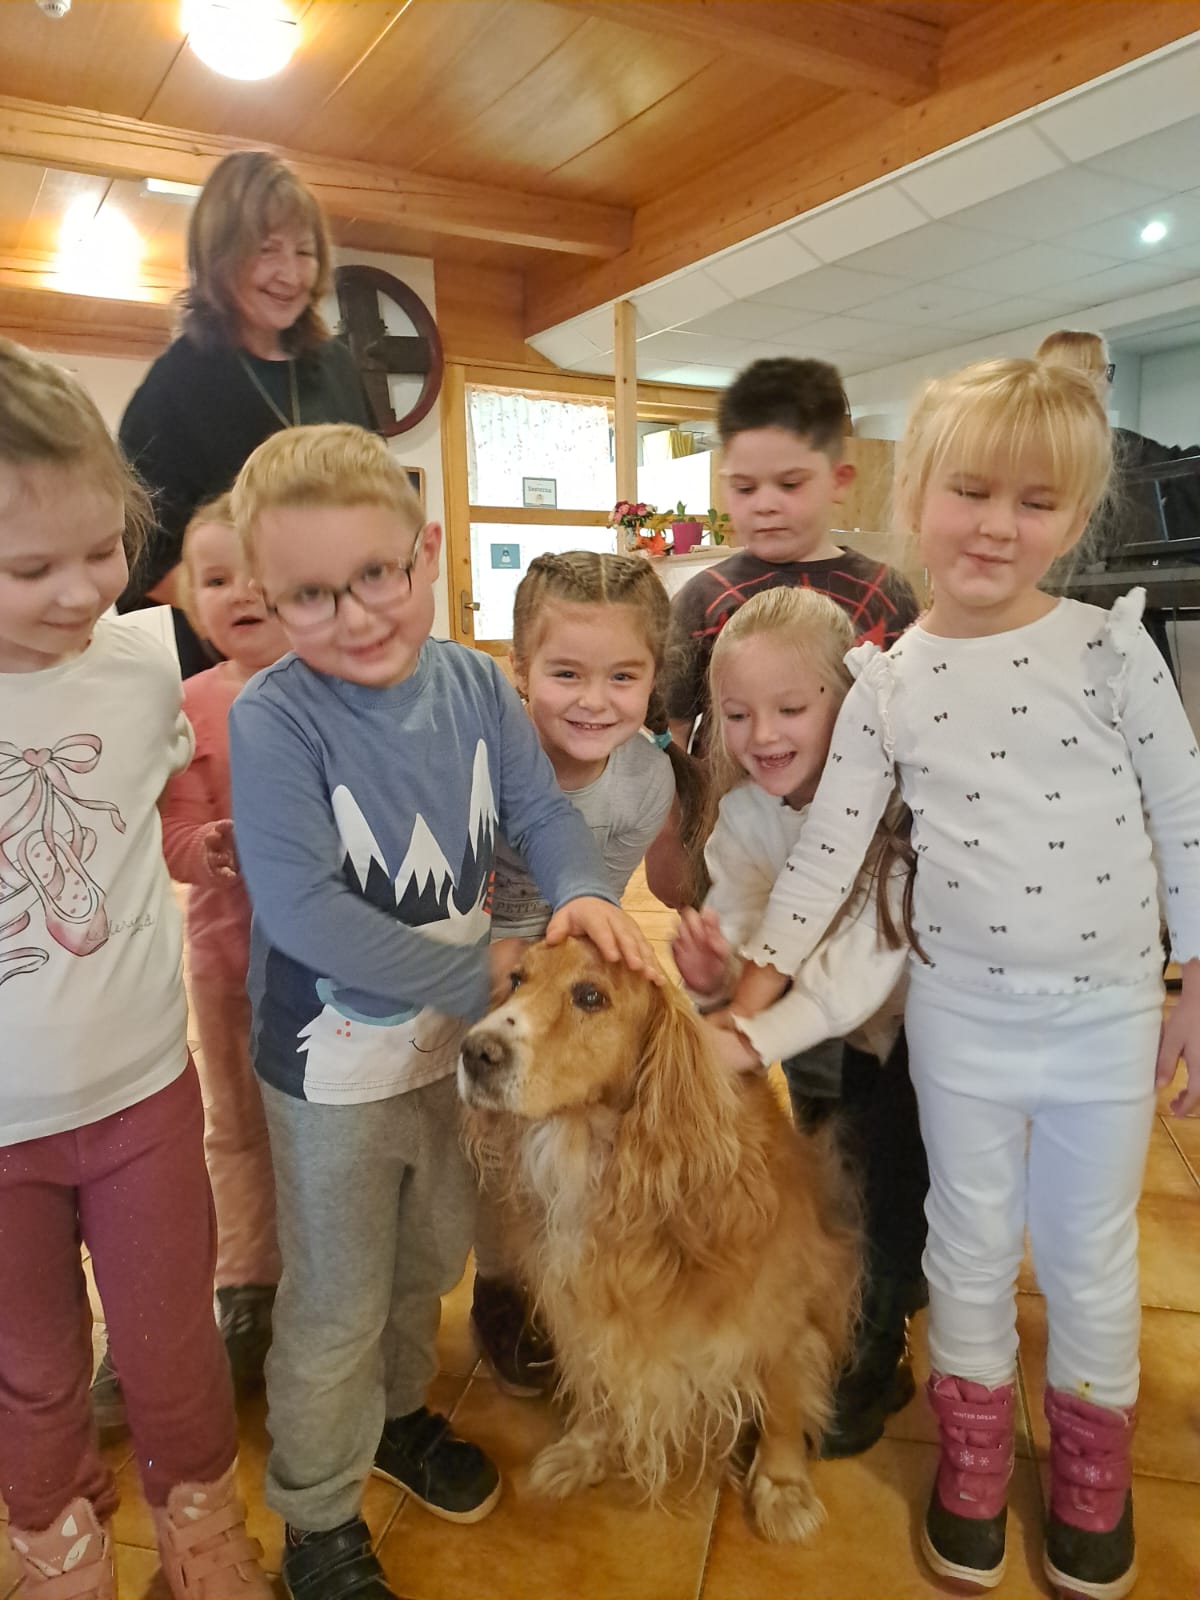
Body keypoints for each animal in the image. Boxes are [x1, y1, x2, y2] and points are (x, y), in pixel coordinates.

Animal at [458, 937, 860, 1542]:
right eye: (515, 979)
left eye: (591, 995)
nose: (475, 1051)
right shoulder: (578, 1302)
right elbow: (594, 1378)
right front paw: (584, 1449)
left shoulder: (783, 1315)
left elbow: (785, 1403)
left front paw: (782, 1485)